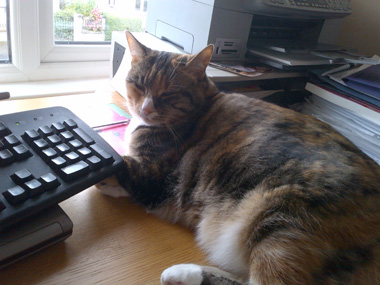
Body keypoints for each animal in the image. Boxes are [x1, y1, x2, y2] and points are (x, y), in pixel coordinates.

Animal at [97, 30, 380, 282]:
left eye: (169, 94)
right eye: (139, 84)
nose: (145, 109)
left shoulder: (151, 174)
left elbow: (123, 166)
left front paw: (105, 180)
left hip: (283, 224)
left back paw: (181, 272)